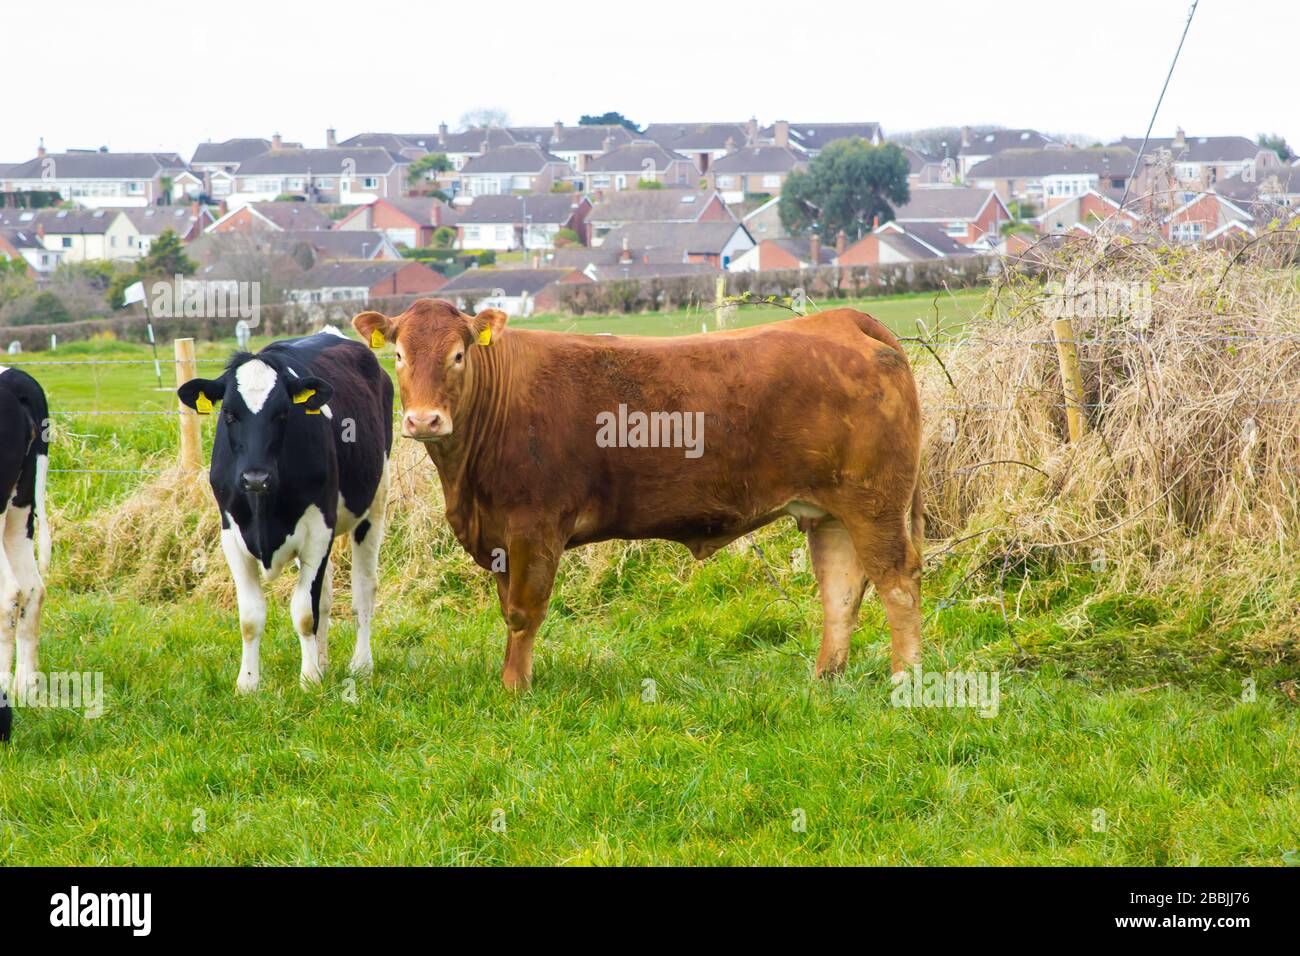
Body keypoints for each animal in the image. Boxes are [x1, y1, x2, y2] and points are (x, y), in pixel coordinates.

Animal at [177, 328, 393, 693]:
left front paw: (309, 681)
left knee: (363, 591)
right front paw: (248, 684)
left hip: (374, 507)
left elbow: (304, 613)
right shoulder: (231, 536)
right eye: (229, 414)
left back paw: (361, 666)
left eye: (282, 413)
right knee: (327, 596)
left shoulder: (318, 531)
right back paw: (323, 661)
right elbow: (251, 617)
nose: (255, 477)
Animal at [353, 299, 922, 691]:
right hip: (829, 511)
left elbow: (523, 611)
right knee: (841, 589)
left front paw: (515, 688)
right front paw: (512, 678)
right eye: (398, 354)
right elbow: (507, 610)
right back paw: (825, 679)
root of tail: (841, 319)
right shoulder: (498, 537)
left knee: (897, 580)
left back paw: (905, 679)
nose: (423, 420)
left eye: (457, 354)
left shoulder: (534, 526)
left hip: (874, 503)